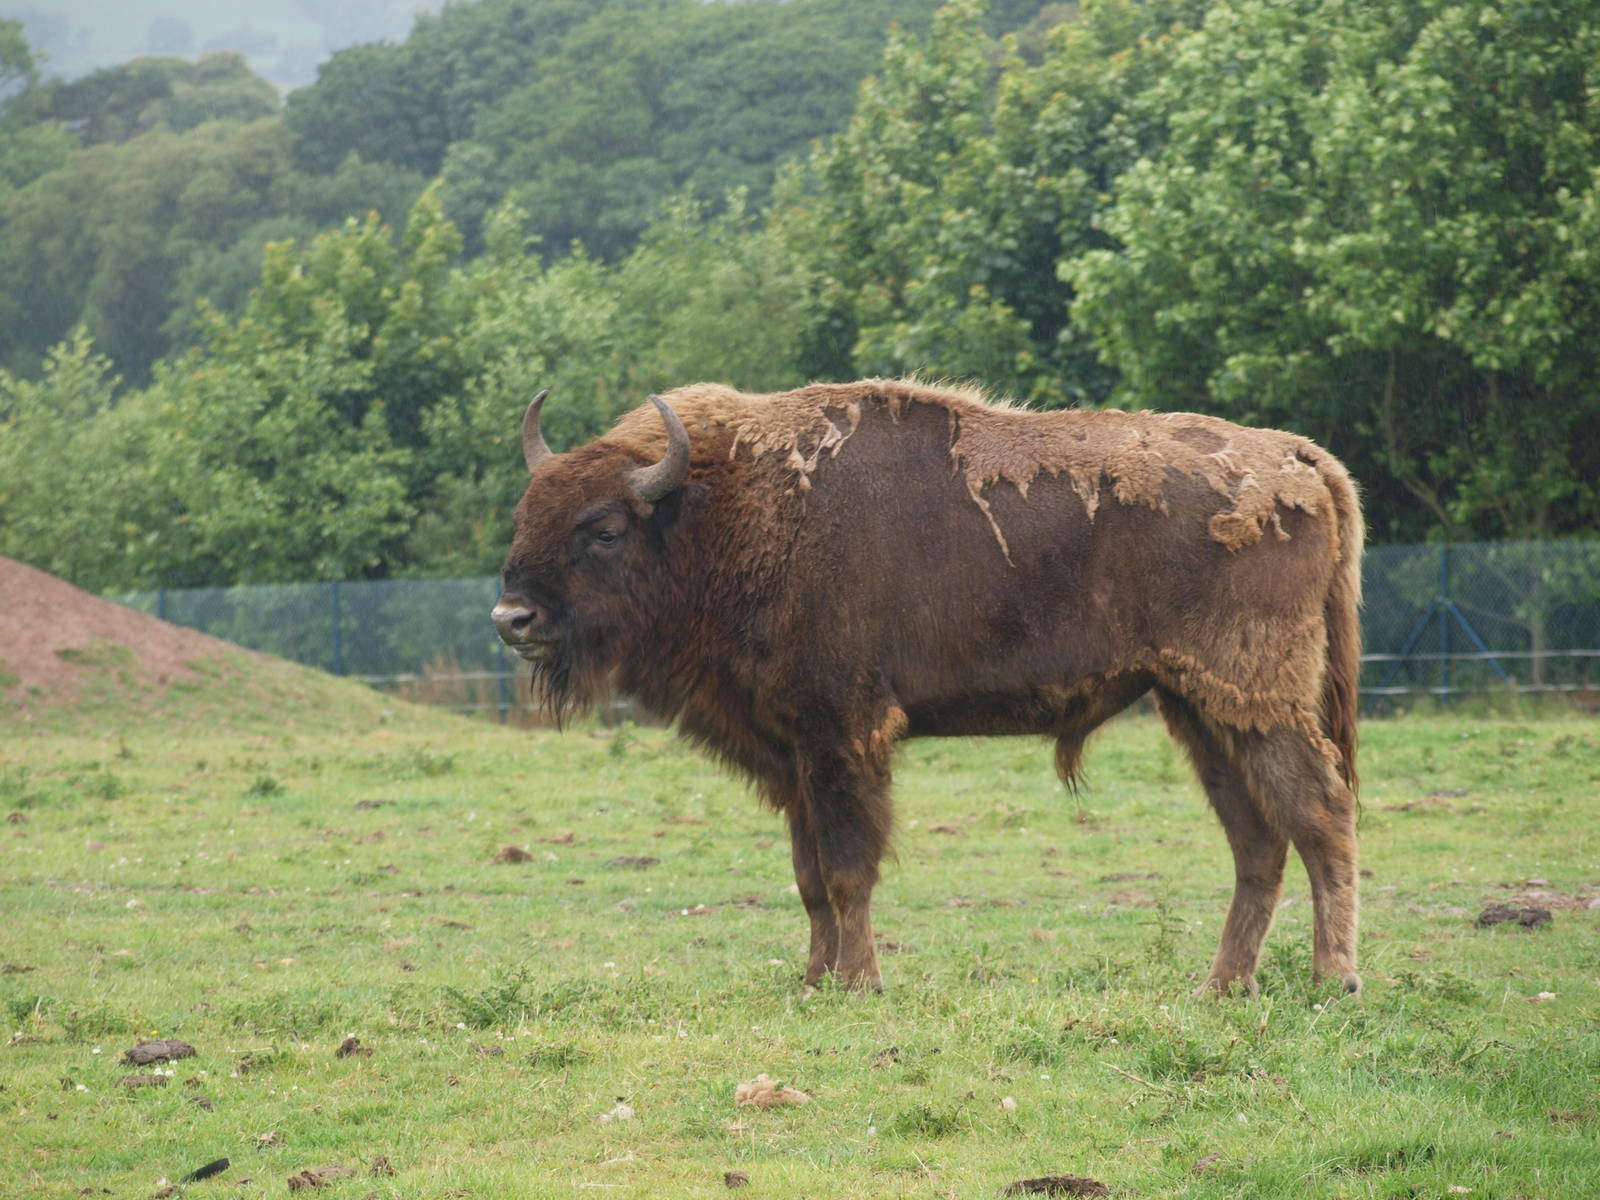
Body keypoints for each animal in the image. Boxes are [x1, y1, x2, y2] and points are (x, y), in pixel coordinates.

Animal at [493, 379, 1363, 995]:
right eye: (524, 515)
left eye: (604, 529)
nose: (512, 617)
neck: (722, 507)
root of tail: (1297, 457)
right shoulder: (795, 752)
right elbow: (810, 877)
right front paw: (814, 980)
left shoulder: (842, 735)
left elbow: (848, 867)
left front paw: (858, 983)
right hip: (1200, 707)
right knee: (1258, 837)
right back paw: (1222, 986)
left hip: (1260, 701)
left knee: (1320, 815)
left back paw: (1333, 981)